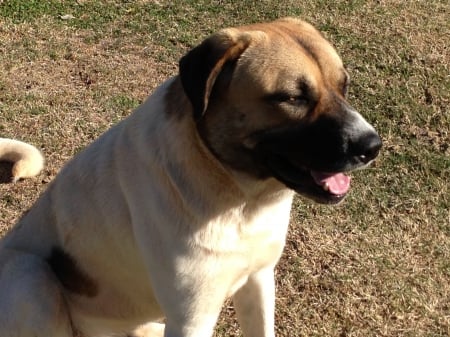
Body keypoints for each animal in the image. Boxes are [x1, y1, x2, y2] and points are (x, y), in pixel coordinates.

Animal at [0, 19, 380, 336]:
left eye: (344, 86)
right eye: (293, 97)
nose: (372, 146)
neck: (241, 200)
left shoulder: (258, 281)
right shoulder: (193, 317)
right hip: (31, 277)